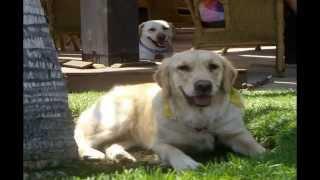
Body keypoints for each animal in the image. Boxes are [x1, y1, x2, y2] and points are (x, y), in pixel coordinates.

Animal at [74, 49, 264, 170]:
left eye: (213, 66)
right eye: (183, 68)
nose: (203, 85)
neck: (200, 116)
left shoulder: (236, 133)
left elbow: (253, 145)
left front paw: (265, 153)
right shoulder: (159, 143)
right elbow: (173, 149)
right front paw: (186, 163)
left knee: (111, 145)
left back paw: (121, 156)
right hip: (120, 119)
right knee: (82, 139)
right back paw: (90, 154)